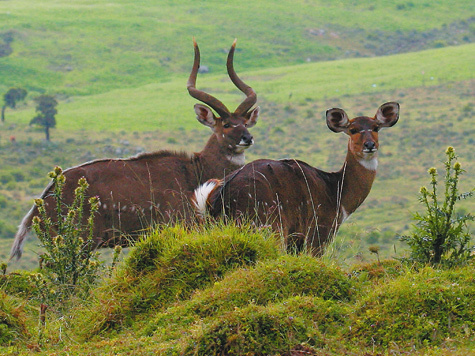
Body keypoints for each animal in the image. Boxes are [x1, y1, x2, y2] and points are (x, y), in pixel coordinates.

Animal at [10, 40, 260, 260]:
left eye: (245, 123)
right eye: (226, 124)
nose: (247, 138)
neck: (194, 172)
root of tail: (38, 208)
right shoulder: (177, 222)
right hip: (79, 241)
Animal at [193, 103, 398, 256]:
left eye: (375, 127)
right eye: (353, 129)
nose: (369, 145)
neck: (336, 192)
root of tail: (215, 200)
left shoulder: (296, 239)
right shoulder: (318, 232)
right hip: (270, 227)